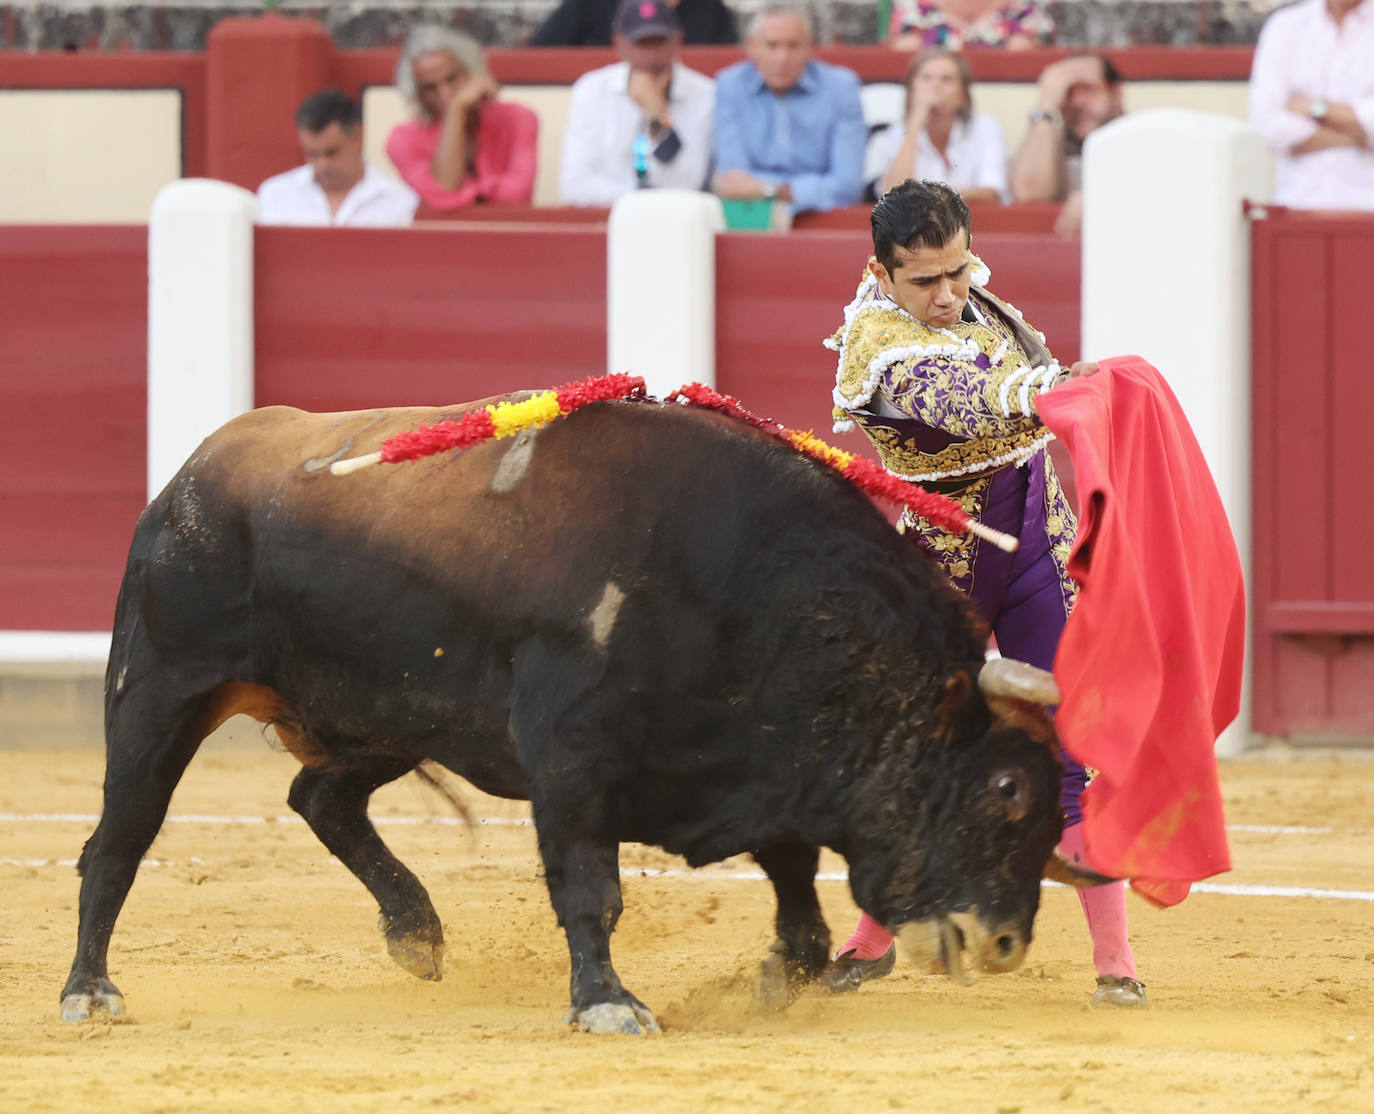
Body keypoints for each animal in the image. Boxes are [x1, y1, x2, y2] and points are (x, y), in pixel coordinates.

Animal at [59, 395, 1104, 1038]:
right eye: (1007, 788)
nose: (1008, 944)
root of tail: (196, 470)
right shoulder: (570, 756)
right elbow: (591, 888)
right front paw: (607, 1005)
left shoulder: (762, 760)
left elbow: (798, 892)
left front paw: (774, 982)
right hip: (159, 690)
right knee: (118, 841)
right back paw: (90, 990)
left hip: (395, 714)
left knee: (319, 797)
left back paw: (416, 933)